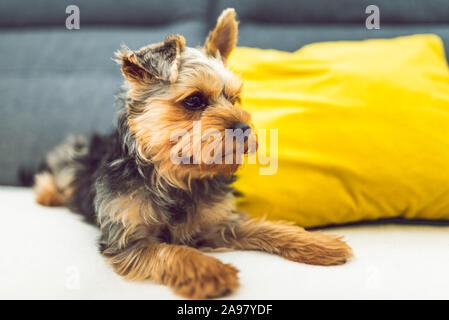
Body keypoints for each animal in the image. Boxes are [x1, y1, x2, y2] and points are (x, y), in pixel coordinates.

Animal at [33, 8, 352, 298]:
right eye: (194, 100)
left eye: (235, 99)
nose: (245, 128)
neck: (176, 176)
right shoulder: (127, 239)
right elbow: (171, 250)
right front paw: (208, 270)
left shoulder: (215, 223)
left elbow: (260, 226)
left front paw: (319, 244)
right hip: (71, 158)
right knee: (51, 173)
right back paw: (47, 194)